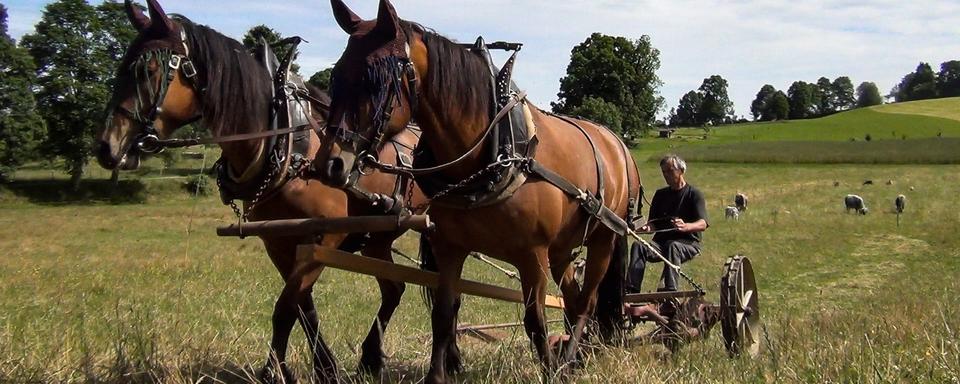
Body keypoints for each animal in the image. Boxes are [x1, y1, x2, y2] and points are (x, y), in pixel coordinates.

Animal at [94, 1, 424, 382]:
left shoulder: (325, 235)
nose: (106, 147)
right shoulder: (278, 241)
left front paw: (273, 372)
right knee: (394, 288)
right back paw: (371, 358)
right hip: (378, 238)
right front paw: (322, 368)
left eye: (149, 71)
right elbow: (303, 309)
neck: (284, 141)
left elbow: (286, 307)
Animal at [316, 1, 640, 382]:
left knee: (587, 301)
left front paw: (549, 369)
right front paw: (437, 374)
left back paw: (570, 357)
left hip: (604, 237)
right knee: (573, 301)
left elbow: (535, 321)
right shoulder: (450, 247)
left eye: (375, 80)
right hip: (562, 248)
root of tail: (616, 142)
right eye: (337, 75)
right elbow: (444, 314)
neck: (491, 153)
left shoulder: (533, 255)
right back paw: (577, 357)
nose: (330, 163)